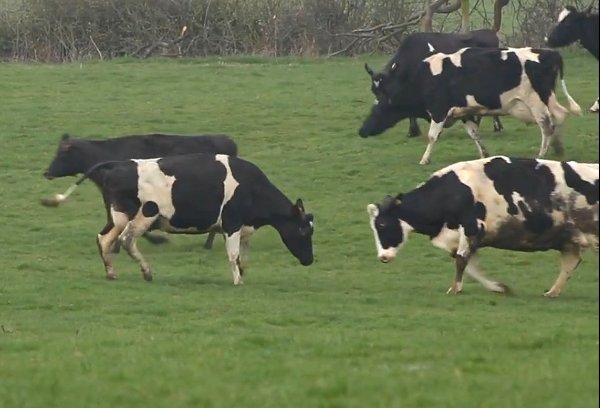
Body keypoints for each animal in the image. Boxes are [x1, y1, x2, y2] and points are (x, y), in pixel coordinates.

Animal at [41, 152, 314, 284]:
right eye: (303, 230)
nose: (310, 260)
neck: (252, 187)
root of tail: (119, 164)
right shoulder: (232, 224)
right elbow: (233, 255)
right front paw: (238, 281)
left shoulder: (245, 228)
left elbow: (243, 257)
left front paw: (241, 274)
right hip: (144, 215)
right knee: (127, 241)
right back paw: (147, 272)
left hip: (117, 216)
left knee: (104, 239)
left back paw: (111, 273)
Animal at [360, 48, 580, 167]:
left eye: (378, 107)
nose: (362, 131)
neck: (423, 78)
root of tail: (549, 52)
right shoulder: (463, 113)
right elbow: (474, 134)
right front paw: (484, 154)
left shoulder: (439, 111)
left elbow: (432, 136)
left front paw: (424, 159)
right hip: (548, 97)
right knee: (559, 116)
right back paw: (558, 148)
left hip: (537, 101)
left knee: (546, 125)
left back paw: (542, 154)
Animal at [366, 29, 506, 137]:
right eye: (374, 90)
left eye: (387, 90)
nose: (379, 106)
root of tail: (489, 32)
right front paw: (413, 131)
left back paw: (496, 126)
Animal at [368, 155, 596, 296]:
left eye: (382, 224)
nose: (383, 257)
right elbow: (472, 267)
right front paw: (499, 287)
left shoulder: (471, 227)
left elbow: (462, 261)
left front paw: (454, 289)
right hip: (569, 239)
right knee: (570, 263)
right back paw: (552, 292)